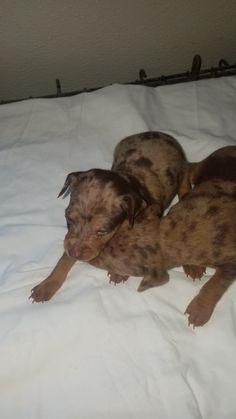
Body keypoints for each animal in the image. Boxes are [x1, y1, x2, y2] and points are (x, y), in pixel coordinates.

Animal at [30, 131, 188, 302]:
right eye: (69, 219)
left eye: (102, 231)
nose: (75, 254)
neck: (130, 178)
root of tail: (163, 134)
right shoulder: (71, 239)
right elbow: (64, 259)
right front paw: (47, 285)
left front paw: (119, 273)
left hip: (182, 171)